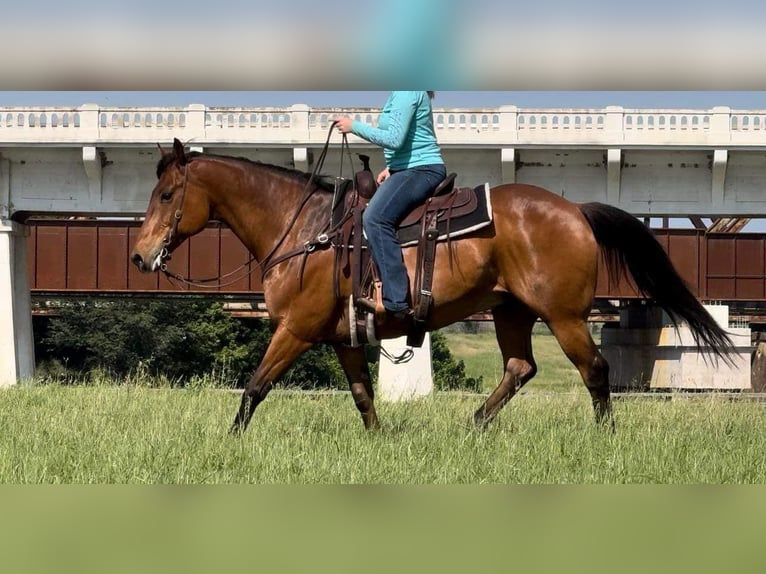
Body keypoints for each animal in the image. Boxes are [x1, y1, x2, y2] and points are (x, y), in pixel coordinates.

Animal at [131, 138, 734, 433]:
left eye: (167, 195)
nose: (138, 255)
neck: (307, 231)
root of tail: (576, 210)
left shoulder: (296, 331)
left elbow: (255, 387)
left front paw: (229, 443)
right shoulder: (344, 339)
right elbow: (363, 397)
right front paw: (380, 444)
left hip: (563, 316)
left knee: (596, 370)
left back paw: (603, 439)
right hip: (511, 311)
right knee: (520, 368)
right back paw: (472, 427)